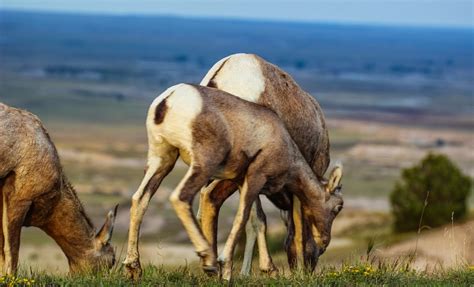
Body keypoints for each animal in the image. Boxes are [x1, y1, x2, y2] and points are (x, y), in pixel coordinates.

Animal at [124, 83, 342, 282]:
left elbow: (253, 219)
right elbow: (242, 216)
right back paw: (208, 260)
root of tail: (169, 100)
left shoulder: (238, 181)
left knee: (140, 199)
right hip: (202, 165)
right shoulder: (255, 176)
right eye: (338, 207)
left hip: (162, 159)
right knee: (180, 197)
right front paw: (226, 269)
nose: (324, 242)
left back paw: (133, 268)